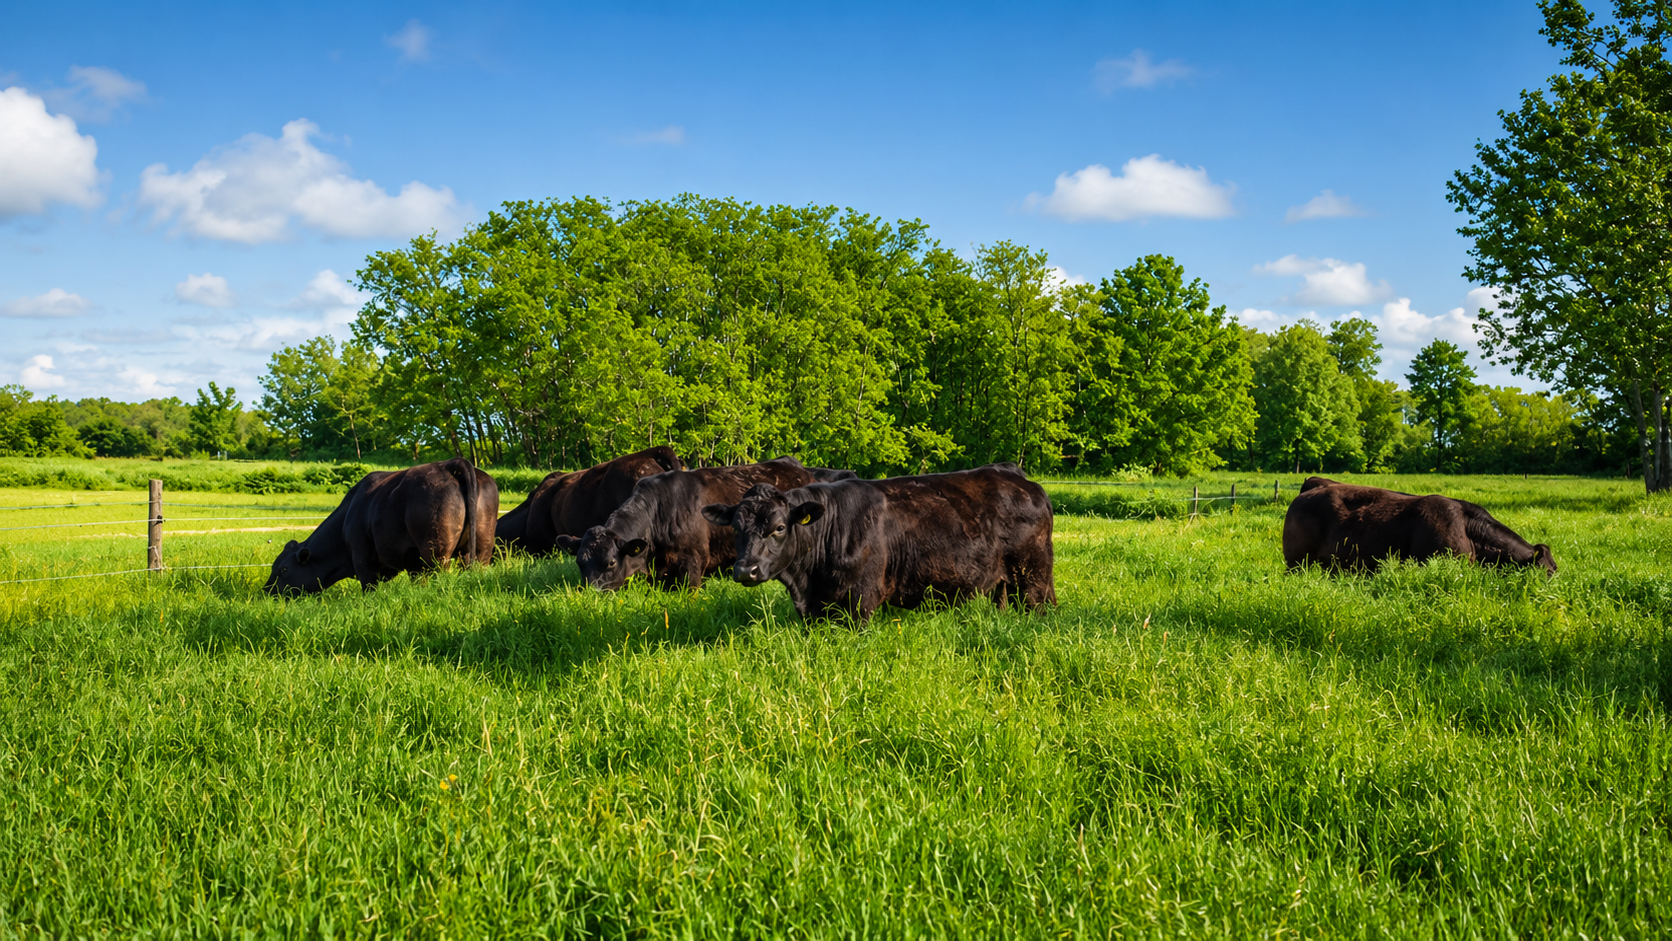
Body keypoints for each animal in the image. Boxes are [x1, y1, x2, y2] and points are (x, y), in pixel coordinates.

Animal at [265, 458, 499, 596]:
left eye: (284, 569)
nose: (267, 591)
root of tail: (449, 464)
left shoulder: (361, 556)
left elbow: (368, 586)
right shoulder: (412, 561)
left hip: (436, 550)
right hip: (480, 547)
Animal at [701, 463, 1057, 623]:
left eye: (778, 528)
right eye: (736, 528)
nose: (745, 570)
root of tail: (1014, 474)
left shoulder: (860, 601)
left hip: (1033, 580)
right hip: (1005, 584)